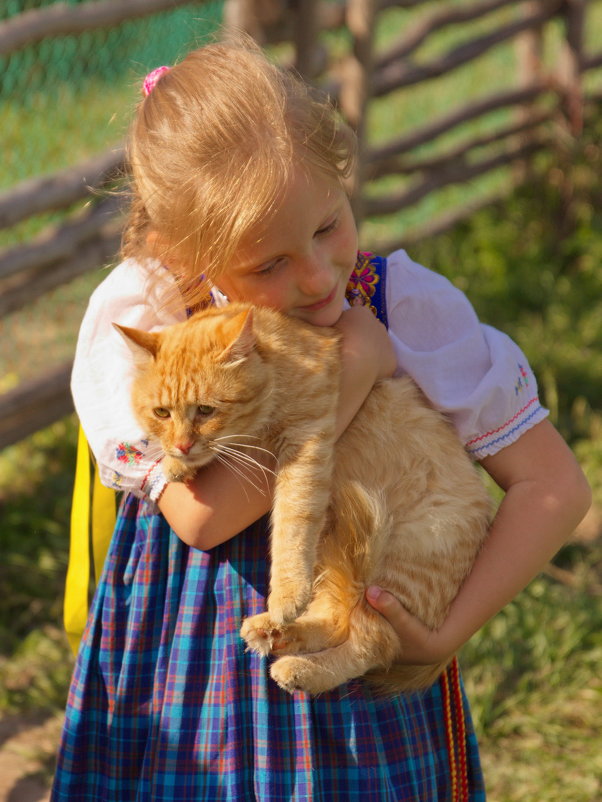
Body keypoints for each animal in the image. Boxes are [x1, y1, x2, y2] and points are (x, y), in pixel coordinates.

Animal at [115, 302, 490, 692]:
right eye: (162, 413)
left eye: (206, 410)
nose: (182, 445)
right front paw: (175, 463)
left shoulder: (306, 442)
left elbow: (291, 523)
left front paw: (286, 593)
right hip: (337, 551)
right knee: (336, 619)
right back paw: (274, 633)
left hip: (395, 570)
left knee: (372, 642)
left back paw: (298, 668)